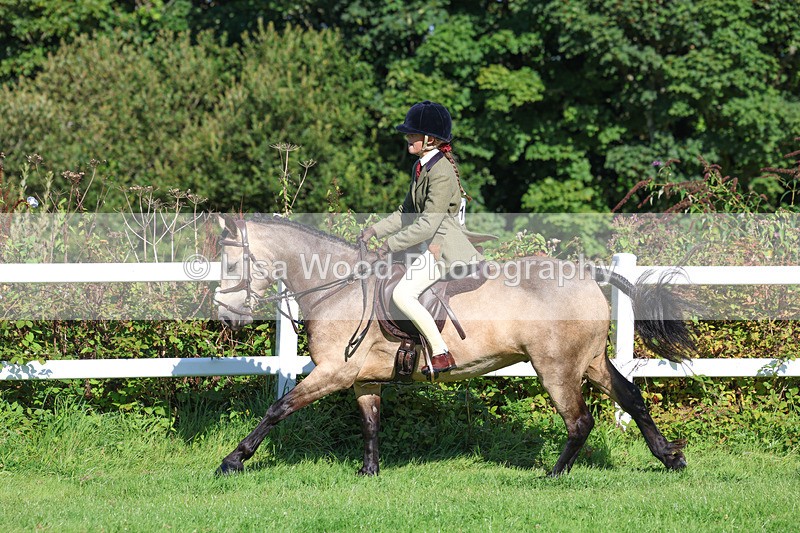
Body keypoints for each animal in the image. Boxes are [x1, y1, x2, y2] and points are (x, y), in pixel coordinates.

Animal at [213, 214, 695, 477]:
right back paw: (669, 457)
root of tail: (587, 272)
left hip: (556, 368)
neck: (339, 286)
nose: (224, 315)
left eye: (231, 263)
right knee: (631, 397)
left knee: (580, 421)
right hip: (591, 360)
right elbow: (370, 424)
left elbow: (278, 409)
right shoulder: (362, 379)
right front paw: (369, 471)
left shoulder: (334, 372)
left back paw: (554, 475)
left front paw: (233, 460)